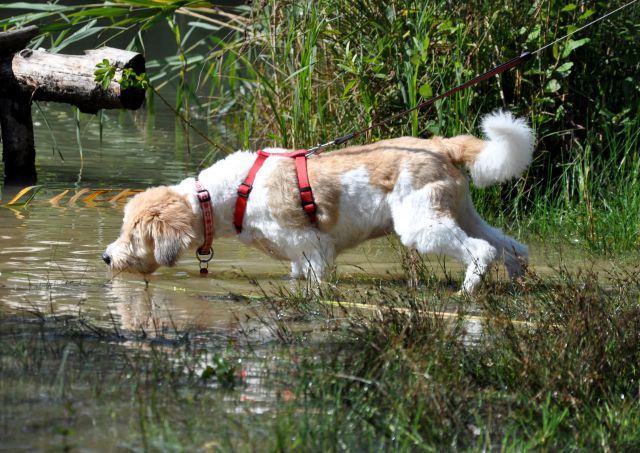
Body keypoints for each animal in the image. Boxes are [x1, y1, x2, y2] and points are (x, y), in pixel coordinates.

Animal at [105, 111, 532, 292]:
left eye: (133, 234)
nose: (107, 258)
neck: (230, 194)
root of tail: (442, 146)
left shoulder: (314, 250)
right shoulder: (298, 257)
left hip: (422, 225)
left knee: (481, 251)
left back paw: (467, 292)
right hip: (461, 212)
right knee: (510, 246)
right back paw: (516, 281)